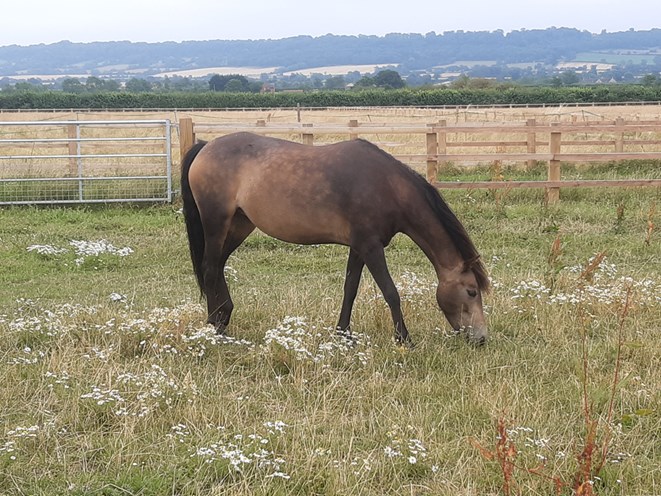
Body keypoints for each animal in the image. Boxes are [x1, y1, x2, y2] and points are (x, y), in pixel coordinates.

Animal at [178, 132, 488, 344]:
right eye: (472, 291)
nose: (481, 337)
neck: (386, 185)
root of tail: (206, 146)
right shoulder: (371, 247)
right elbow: (391, 292)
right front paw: (404, 339)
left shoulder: (360, 247)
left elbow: (350, 288)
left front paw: (343, 333)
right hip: (216, 223)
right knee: (209, 268)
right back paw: (215, 326)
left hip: (240, 225)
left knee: (218, 267)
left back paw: (224, 317)